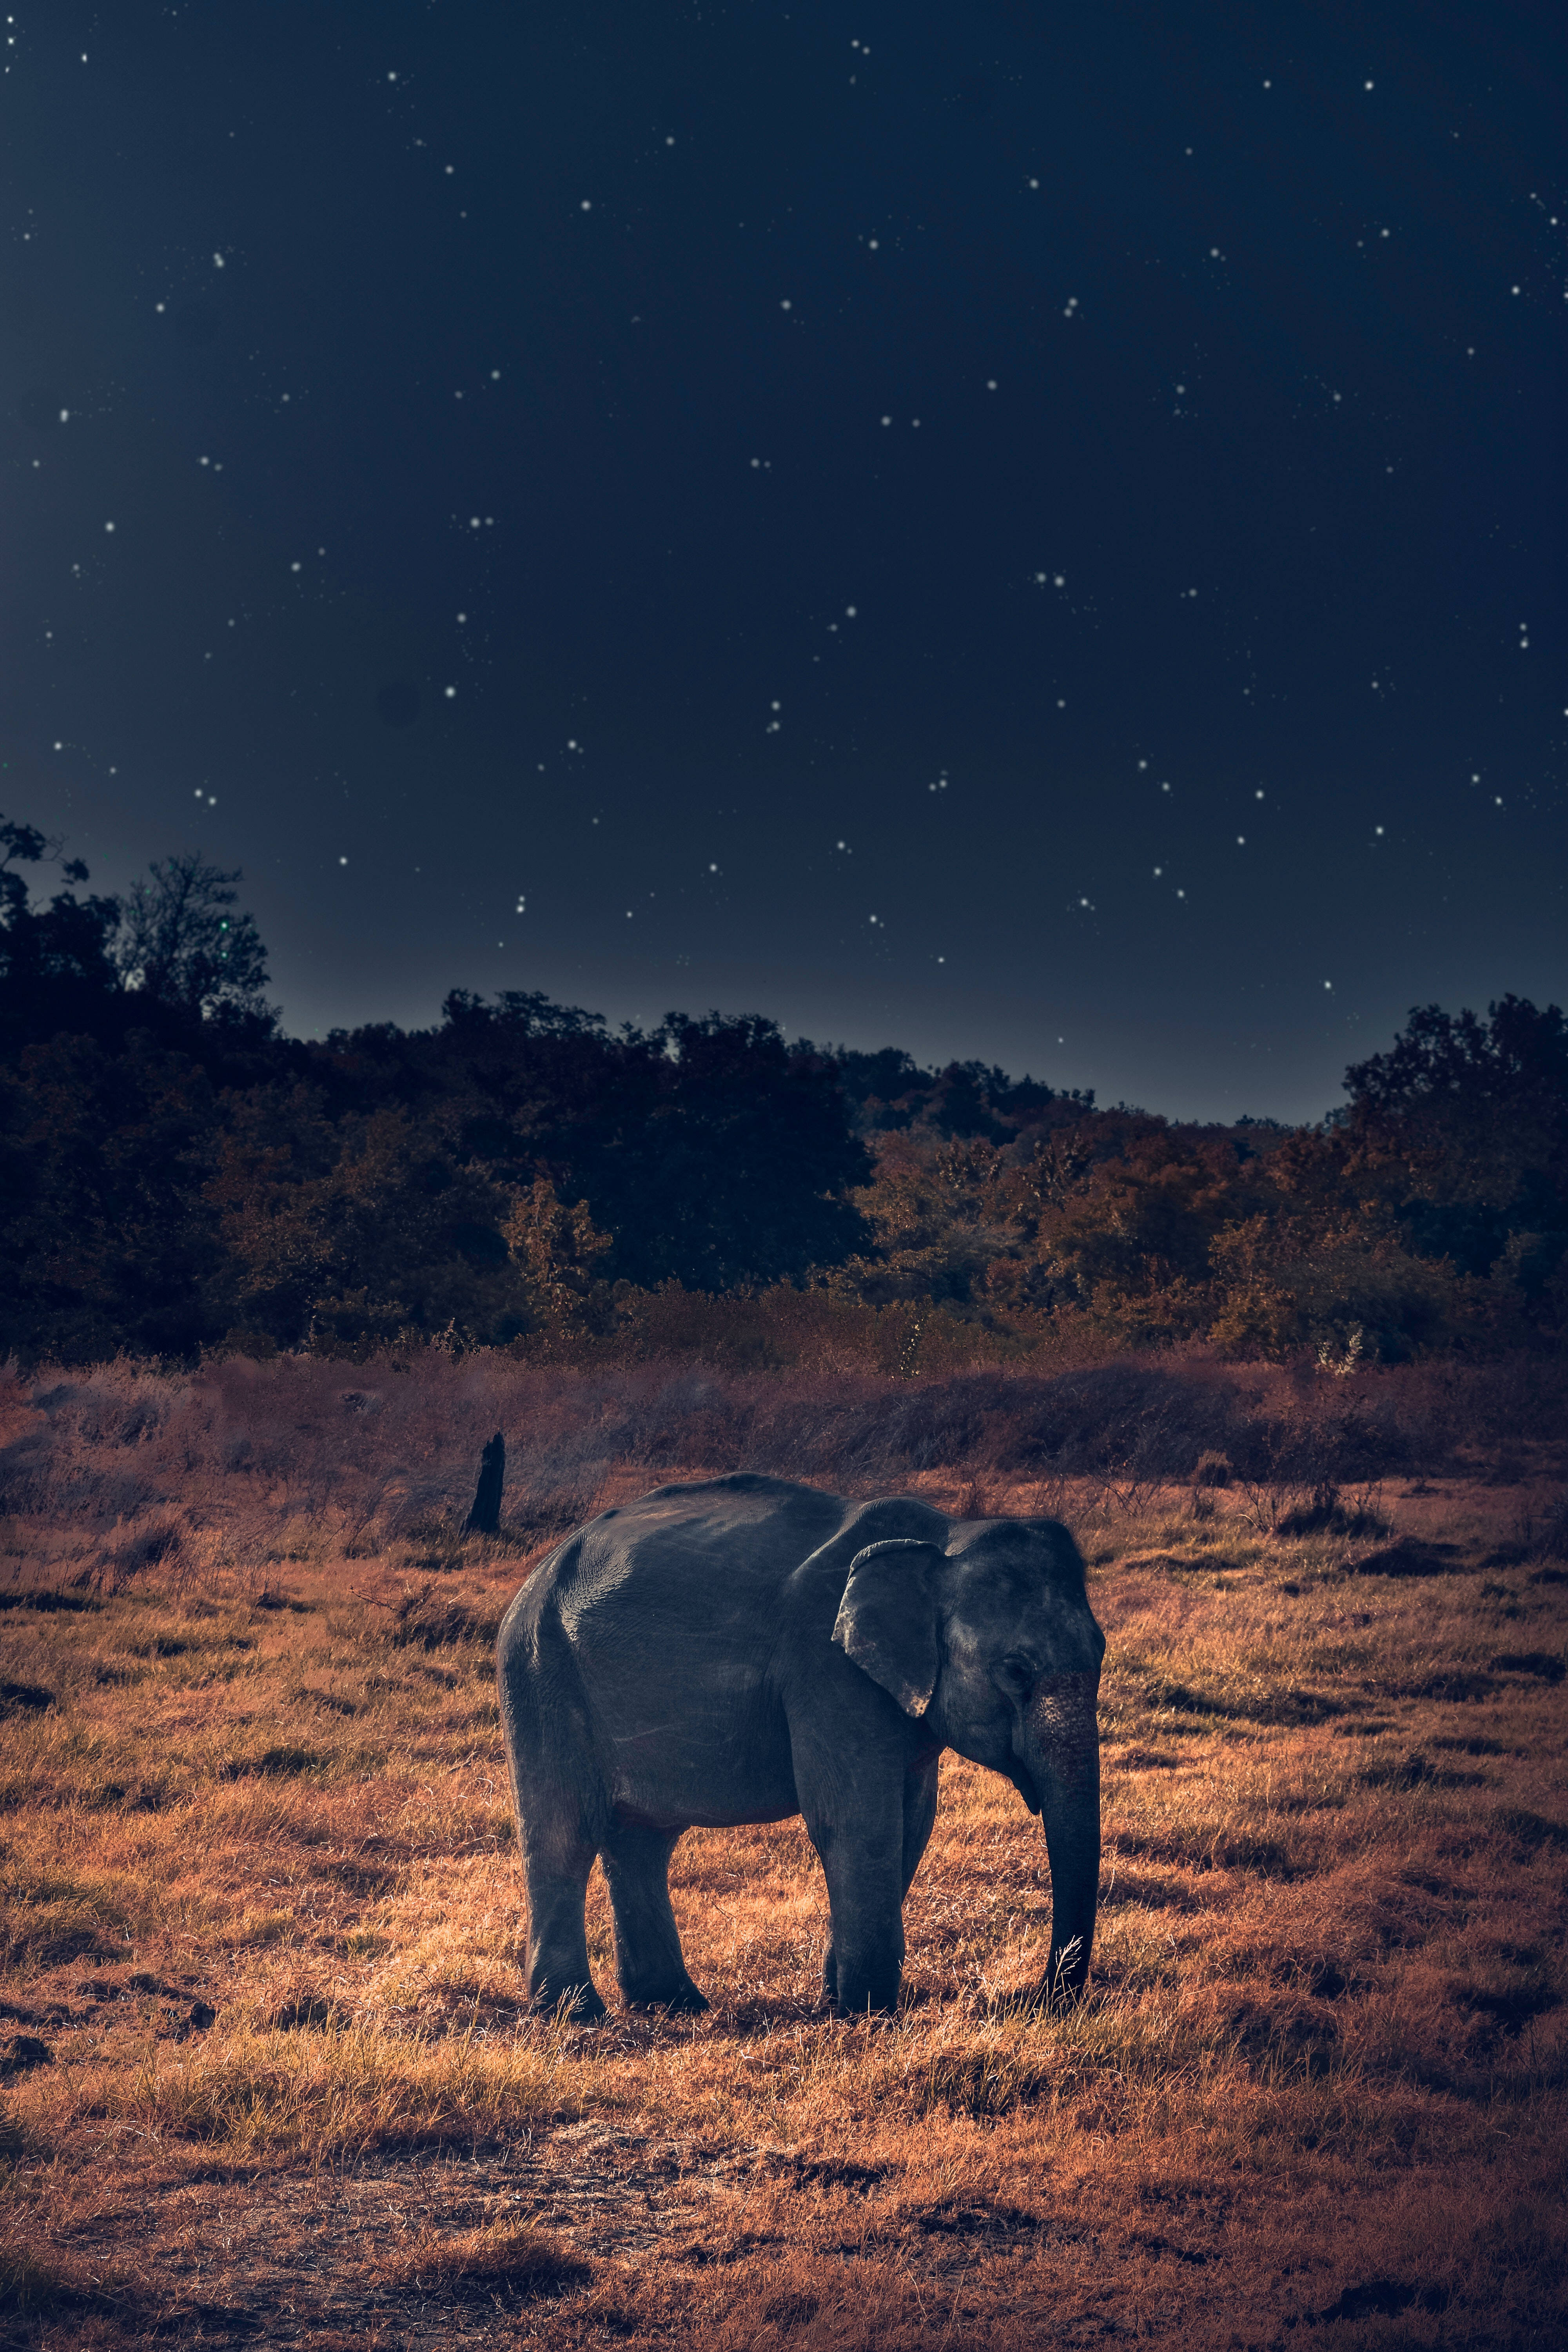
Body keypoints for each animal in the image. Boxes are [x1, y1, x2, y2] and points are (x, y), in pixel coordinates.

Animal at [496, 1473, 1105, 2021]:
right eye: (1016, 1671)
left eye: (1101, 1654)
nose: (1038, 1999)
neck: (945, 1538)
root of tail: (537, 1576)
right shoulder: (826, 1671)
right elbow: (856, 1820)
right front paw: (867, 2015)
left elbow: (912, 1822)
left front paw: (839, 2003)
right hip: (541, 1674)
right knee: (564, 1834)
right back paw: (577, 2015)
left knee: (642, 1841)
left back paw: (673, 2005)